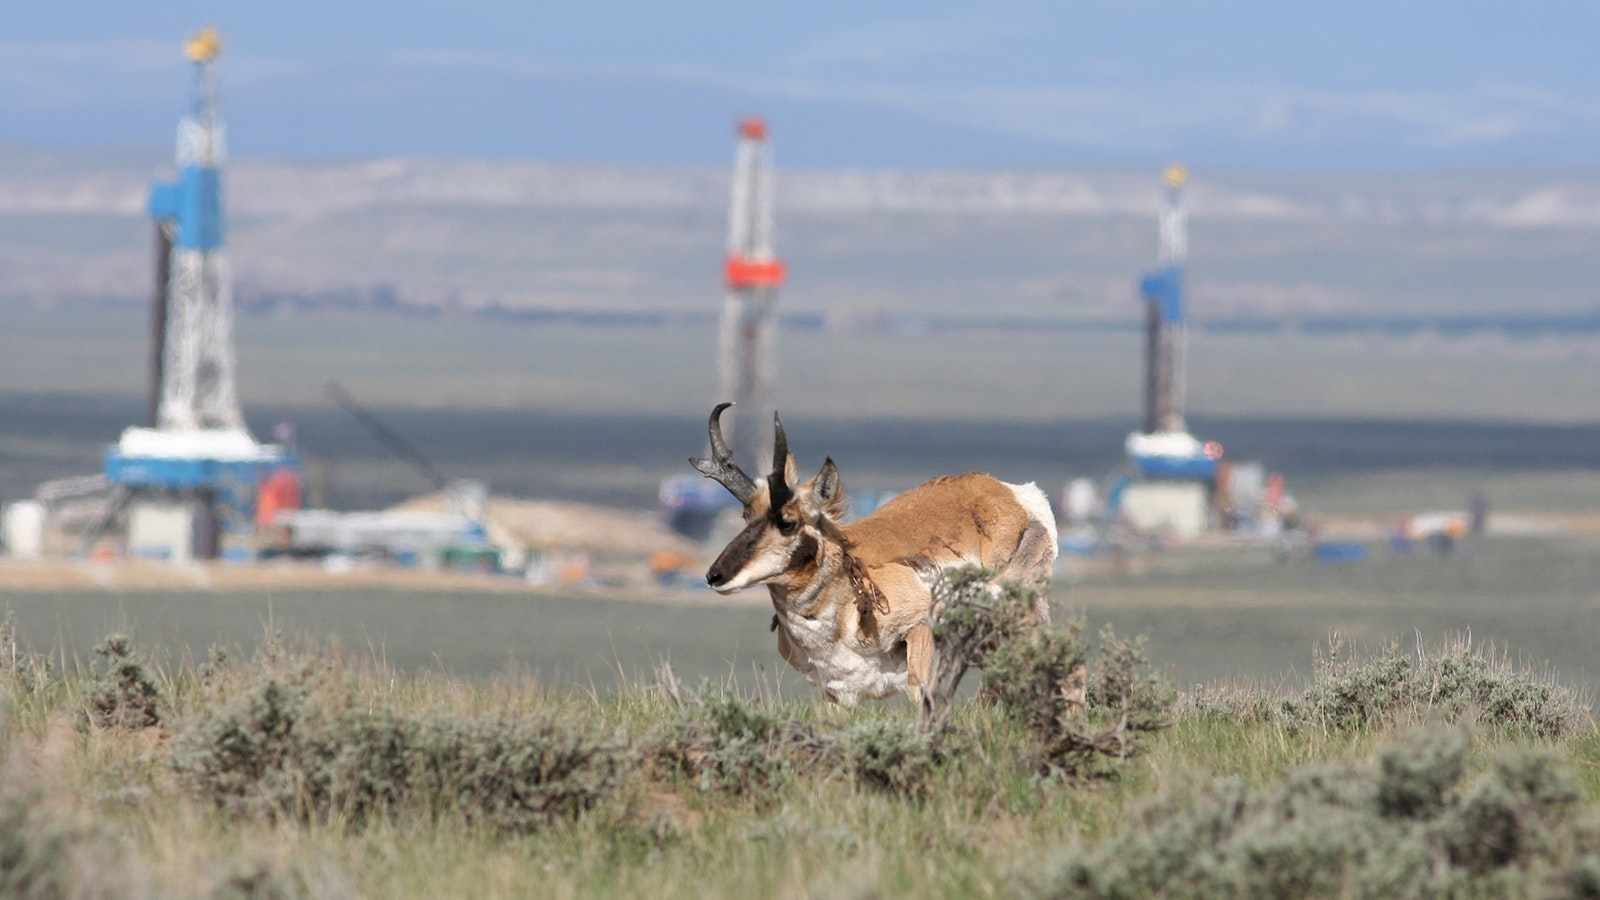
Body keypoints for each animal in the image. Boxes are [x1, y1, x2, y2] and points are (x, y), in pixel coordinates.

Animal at [691, 403, 1056, 704]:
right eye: (746, 515)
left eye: (787, 522)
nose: (714, 575)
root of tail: (1011, 493)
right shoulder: (836, 694)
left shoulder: (920, 637)